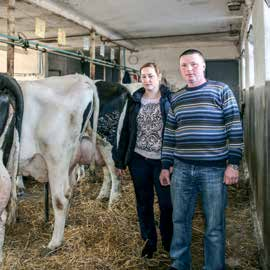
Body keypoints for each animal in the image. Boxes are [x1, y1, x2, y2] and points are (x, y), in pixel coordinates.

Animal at [0, 72, 99, 262]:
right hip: (70, 161)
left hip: (56, 157)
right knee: (69, 192)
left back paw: (54, 243)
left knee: (60, 199)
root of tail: (81, 78)